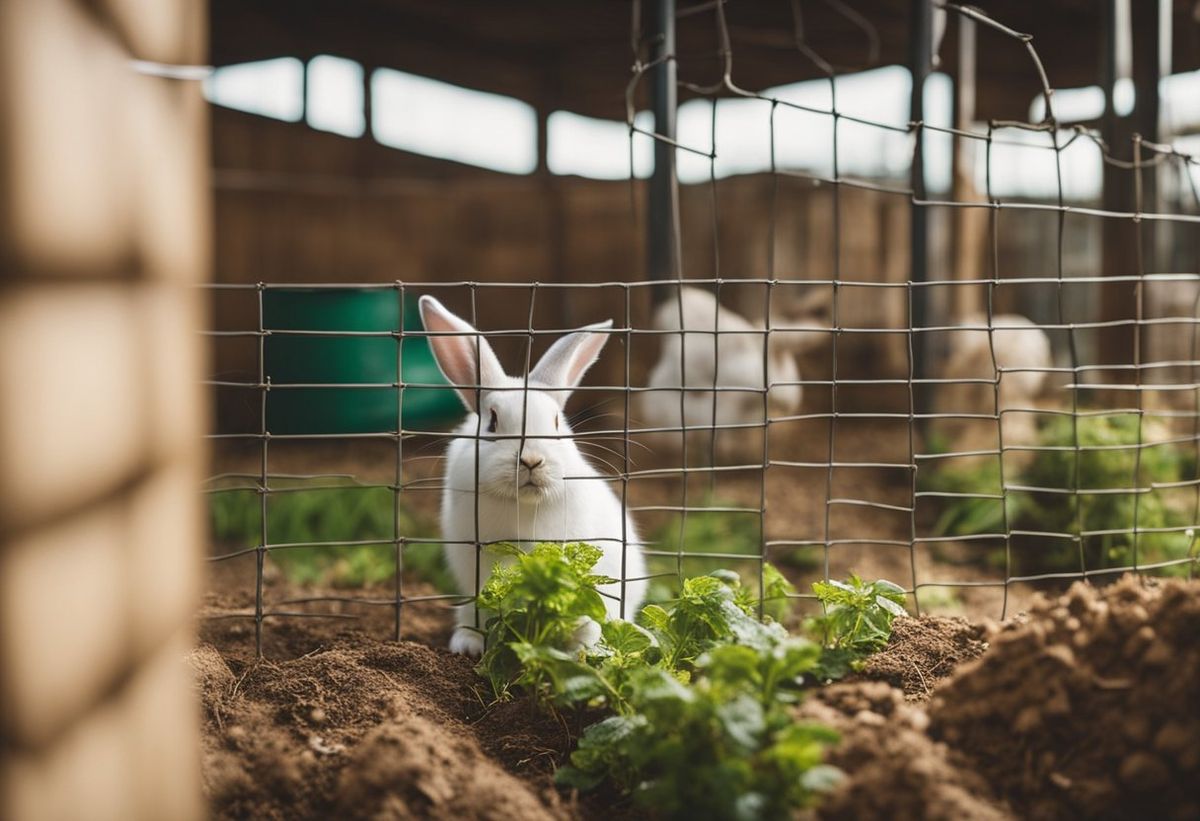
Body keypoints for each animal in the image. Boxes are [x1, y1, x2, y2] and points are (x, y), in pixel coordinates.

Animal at [419, 295, 648, 657]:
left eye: (556, 423)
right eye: (492, 422)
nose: (531, 459)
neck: (522, 505)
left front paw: (578, 638)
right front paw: (471, 645)